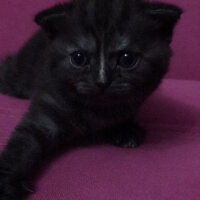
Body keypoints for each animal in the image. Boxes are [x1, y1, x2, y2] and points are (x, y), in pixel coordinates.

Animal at [0, 0, 181, 198]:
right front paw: (7, 183)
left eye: (127, 59)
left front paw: (125, 129)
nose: (102, 81)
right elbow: (24, 142)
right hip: (18, 76)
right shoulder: (48, 102)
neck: (96, 108)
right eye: (78, 58)